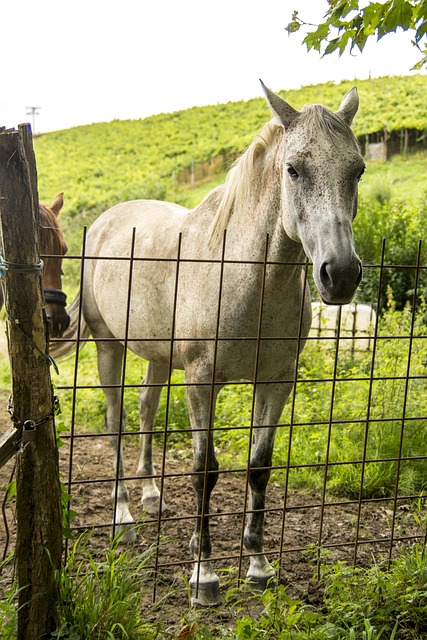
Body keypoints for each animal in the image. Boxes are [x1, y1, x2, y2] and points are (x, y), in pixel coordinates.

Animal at [52, 82, 364, 605]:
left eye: (357, 169)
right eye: (293, 169)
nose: (339, 275)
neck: (243, 276)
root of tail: (104, 221)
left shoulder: (275, 383)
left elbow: (259, 466)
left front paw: (258, 564)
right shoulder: (201, 382)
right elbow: (205, 471)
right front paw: (204, 574)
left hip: (158, 356)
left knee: (146, 407)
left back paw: (152, 496)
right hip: (109, 346)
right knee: (116, 420)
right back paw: (123, 516)